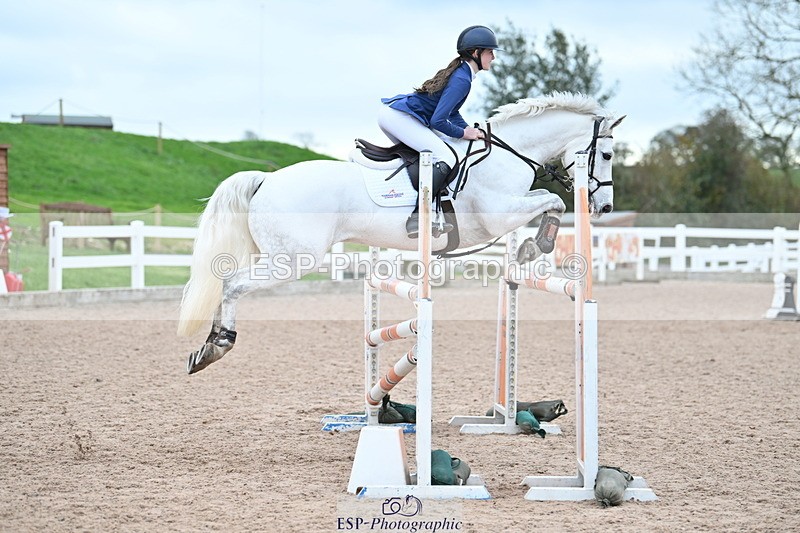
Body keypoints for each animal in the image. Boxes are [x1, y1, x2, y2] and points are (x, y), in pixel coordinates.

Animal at [178, 91, 625, 374]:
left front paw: (532, 247)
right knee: (231, 284)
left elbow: (550, 202)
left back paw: (206, 347)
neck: (508, 154)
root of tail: (266, 179)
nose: (604, 208)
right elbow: (554, 202)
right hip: (290, 261)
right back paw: (218, 345)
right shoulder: (498, 215)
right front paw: (537, 245)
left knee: (225, 283)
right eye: (605, 154)